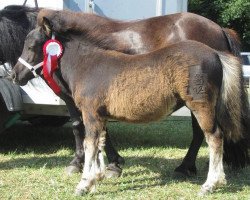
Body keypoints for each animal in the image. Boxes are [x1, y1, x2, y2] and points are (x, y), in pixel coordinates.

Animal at [11, 18, 248, 195]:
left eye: (31, 46)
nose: (14, 75)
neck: (87, 64)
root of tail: (216, 54)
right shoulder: (99, 116)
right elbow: (100, 142)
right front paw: (99, 176)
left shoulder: (90, 113)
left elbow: (89, 145)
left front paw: (84, 184)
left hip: (201, 106)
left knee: (214, 137)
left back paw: (209, 184)